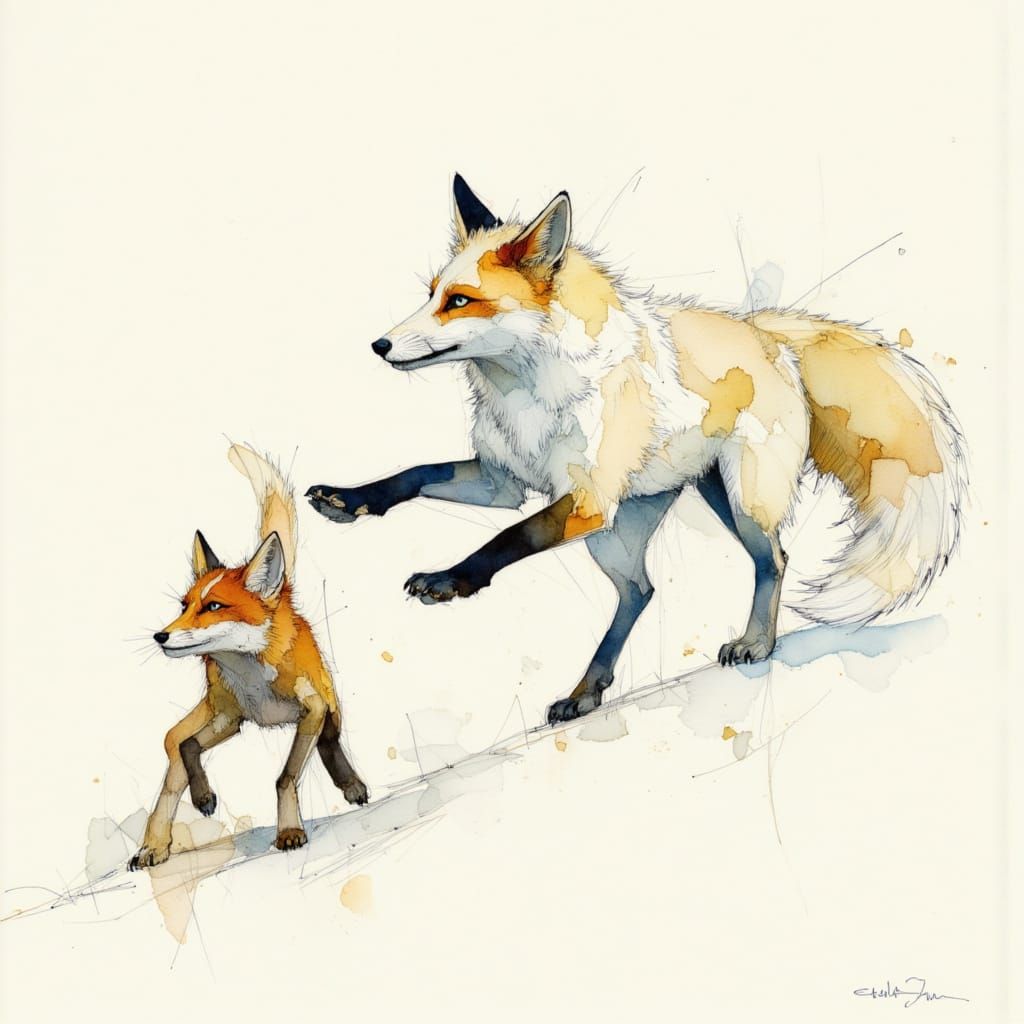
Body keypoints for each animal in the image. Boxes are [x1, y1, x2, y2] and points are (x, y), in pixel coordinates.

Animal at [130, 444, 367, 871]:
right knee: (173, 745)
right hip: (219, 716)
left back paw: (351, 783)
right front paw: (203, 797)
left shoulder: (311, 708)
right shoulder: (230, 717)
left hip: (328, 703)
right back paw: (154, 845)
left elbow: (286, 776)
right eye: (184, 606)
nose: (161, 636)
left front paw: (289, 831)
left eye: (214, 606)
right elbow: (187, 748)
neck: (252, 675)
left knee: (331, 739)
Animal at [308, 174, 967, 726]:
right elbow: (414, 474)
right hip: (635, 526)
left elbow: (506, 539)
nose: (379, 345)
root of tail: (768, 334)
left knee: (773, 560)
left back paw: (755, 644)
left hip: (733, 504)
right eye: (431, 294)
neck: (527, 395)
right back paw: (587, 691)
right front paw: (349, 500)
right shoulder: (503, 482)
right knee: (642, 591)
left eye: (461, 301)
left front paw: (451, 579)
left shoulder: (585, 499)